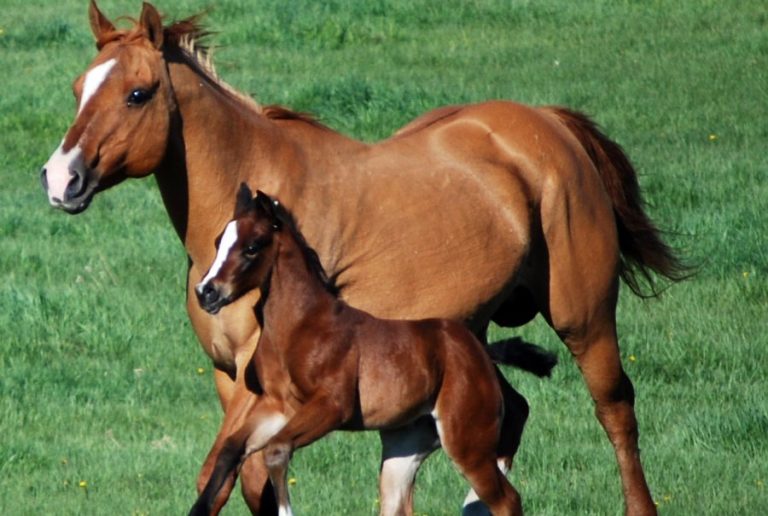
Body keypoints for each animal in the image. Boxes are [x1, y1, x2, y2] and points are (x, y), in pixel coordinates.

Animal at [189, 184, 557, 515]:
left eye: (252, 247)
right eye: (218, 242)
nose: (206, 292)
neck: (300, 326)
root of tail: (480, 353)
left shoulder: (332, 406)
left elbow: (276, 451)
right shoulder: (277, 407)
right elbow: (231, 449)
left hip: (468, 443)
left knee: (507, 499)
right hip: (404, 449)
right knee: (399, 506)